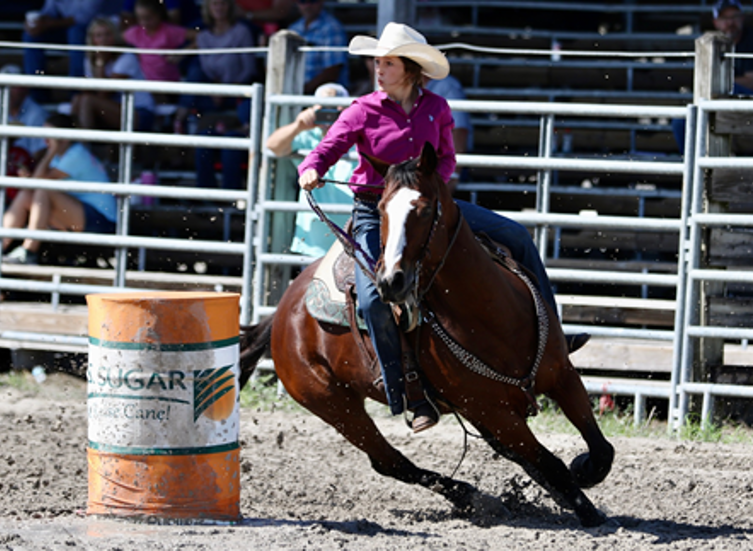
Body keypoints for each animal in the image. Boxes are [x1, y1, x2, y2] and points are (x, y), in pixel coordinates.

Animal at [244, 143, 612, 532]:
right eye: (380, 209)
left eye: (422, 209)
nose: (390, 281)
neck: (493, 315)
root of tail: (283, 310)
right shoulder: (494, 412)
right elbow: (549, 462)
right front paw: (588, 512)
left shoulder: (562, 376)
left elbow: (600, 449)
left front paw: (583, 472)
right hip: (333, 404)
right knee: (390, 462)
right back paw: (471, 497)